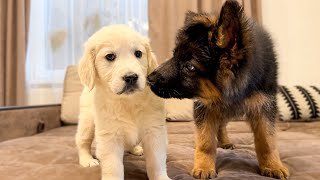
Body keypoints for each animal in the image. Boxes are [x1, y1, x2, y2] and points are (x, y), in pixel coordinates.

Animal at [75, 25, 170, 180]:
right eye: (110, 56)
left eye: (138, 53)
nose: (131, 77)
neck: (128, 102)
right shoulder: (110, 137)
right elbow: (113, 167)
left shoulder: (154, 131)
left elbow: (156, 162)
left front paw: (161, 177)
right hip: (87, 121)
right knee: (82, 141)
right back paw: (87, 160)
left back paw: (136, 149)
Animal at [149, 0, 288, 179]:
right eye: (174, 55)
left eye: (189, 67)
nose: (149, 79)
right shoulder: (205, 107)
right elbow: (206, 141)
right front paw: (204, 166)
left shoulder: (264, 106)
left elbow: (267, 140)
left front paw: (272, 165)